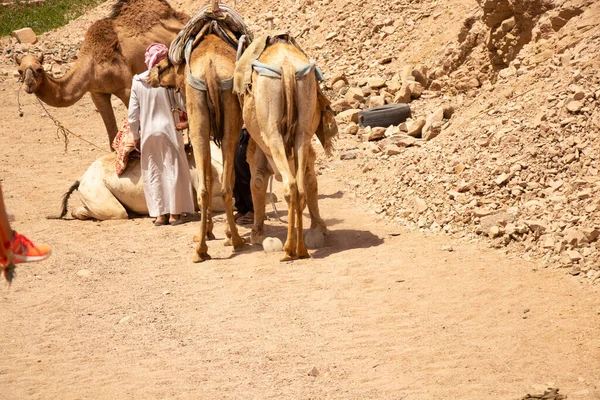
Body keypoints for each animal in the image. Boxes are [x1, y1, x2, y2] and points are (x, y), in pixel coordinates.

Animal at [14, 0, 188, 147]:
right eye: (20, 70)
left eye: (39, 69)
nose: (28, 85)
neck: (91, 65)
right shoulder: (97, 93)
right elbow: (112, 136)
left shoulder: (126, 88)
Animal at [149, 34, 246, 262]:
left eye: (161, 65)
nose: (149, 77)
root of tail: (210, 70)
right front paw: (218, 233)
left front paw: (215, 232)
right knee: (215, 186)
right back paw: (221, 244)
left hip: (202, 116)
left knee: (212, 185)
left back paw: (211, 246)